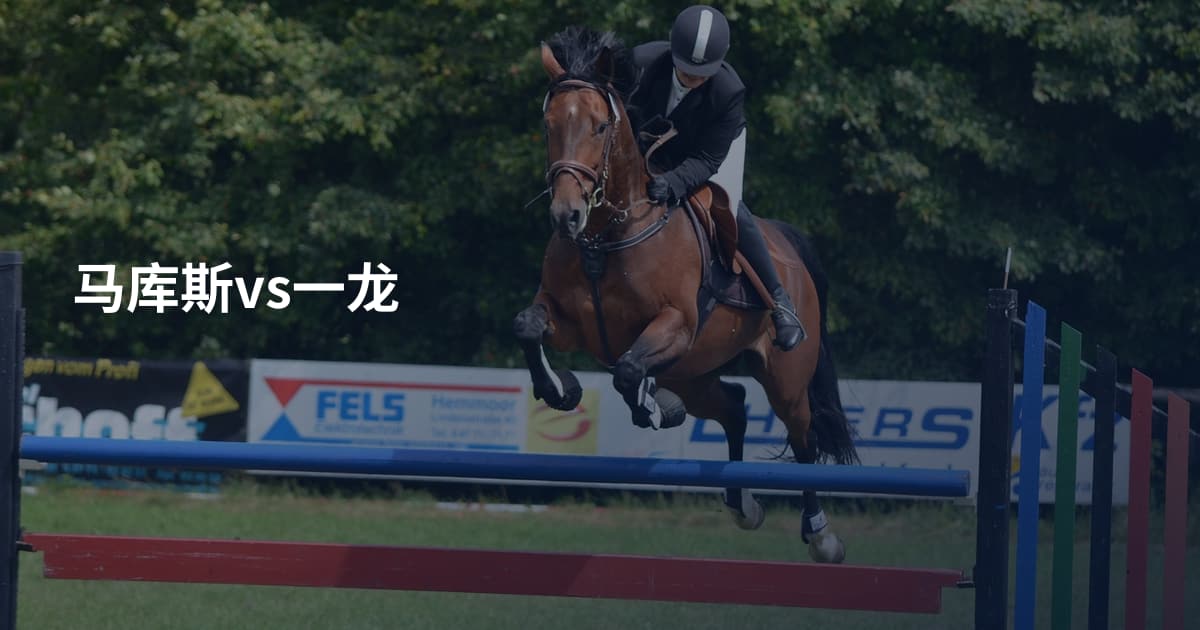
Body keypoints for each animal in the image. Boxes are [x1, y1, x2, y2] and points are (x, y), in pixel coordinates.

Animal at [513, 27, 857, 563]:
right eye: (548, 126)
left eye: (599, 128)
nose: (566, 216)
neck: (608, 232)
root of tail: (789, 247)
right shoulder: (571, 322)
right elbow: (529, 326)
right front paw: (560, 389)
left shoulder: (674, 325)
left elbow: (629, 370)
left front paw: (653, 408)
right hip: (695, 372)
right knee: (733, 406)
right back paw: (743, 505)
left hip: (784, 378)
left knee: (802, 438)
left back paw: (821, 534)